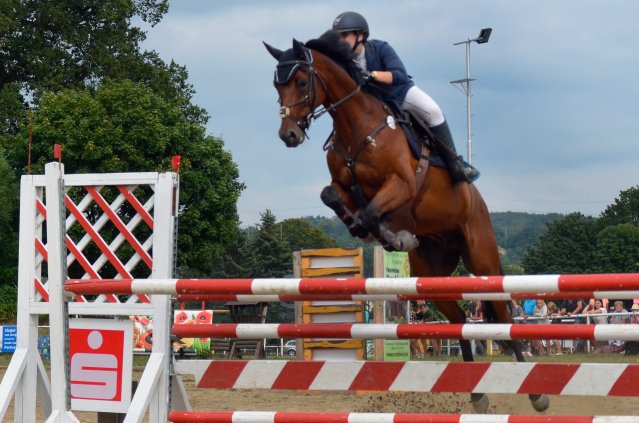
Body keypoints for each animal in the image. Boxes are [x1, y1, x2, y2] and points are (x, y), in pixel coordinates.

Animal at [264, 32, 549, 413]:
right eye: (276, 85)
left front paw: (392, 237)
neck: (357, 125)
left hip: (483, 258)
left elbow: (372, 213)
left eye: (300, 81)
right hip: (432, 276)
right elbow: (334, 197)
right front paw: (372, 231)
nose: (289, 135)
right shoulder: (345, 187)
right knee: (459, 321)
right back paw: (477, 393)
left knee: (503, 317)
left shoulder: (401, 184)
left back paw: (534, 393)